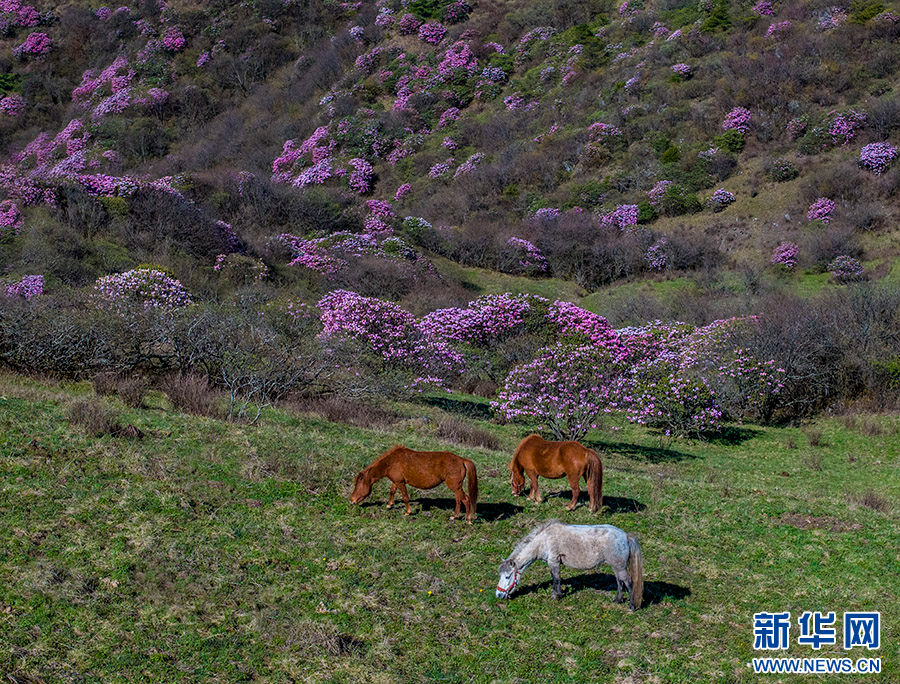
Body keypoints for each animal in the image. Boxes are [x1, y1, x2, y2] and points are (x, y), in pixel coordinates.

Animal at [350, 446, 478, 520]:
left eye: (357, 485)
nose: (352, 501)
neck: (391, 462)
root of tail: (462, 460)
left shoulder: (401, 483)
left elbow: (405, 497)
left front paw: (408, 512)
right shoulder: (396, 481)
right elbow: (392, 491)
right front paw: (389, 505)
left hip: (455, 486)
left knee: (466, 499)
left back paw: (468, 520)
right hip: (456, 487)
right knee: (459, 500)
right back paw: (455, 516)